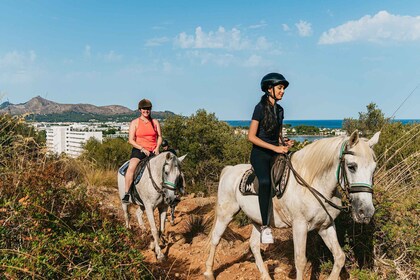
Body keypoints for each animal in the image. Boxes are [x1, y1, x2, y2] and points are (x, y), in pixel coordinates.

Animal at [204, 131, 380, 280]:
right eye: (352, 166)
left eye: (374, 169)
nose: (366, 212)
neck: (312, 184)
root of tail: (229, 170)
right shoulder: (299, 226)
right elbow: (300, 260)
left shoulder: (325, 226)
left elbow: (339, 257)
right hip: (226, 214)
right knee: (215, 239)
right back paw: (208, 272)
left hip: (257, 220)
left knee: (253, 245)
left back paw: (265, 276)